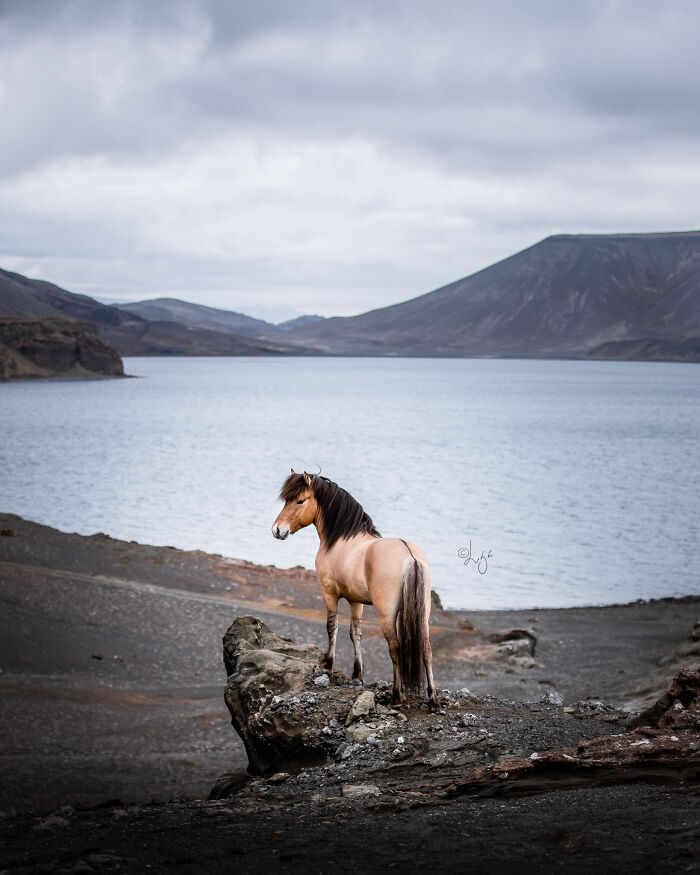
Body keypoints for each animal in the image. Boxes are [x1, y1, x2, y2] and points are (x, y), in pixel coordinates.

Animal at [272, 469, 439, 712]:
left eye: (300, 500)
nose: (277, 530)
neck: (341, 539)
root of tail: (410, 556)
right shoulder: (355, 600)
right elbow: (355, 633)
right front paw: (357, 674)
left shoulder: (329, 593)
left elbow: (332, 627)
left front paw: (328, 665)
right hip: (422, 615)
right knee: (426, 648)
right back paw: (433, 699)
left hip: (387, 614)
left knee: (395, 647)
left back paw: (397, 696)